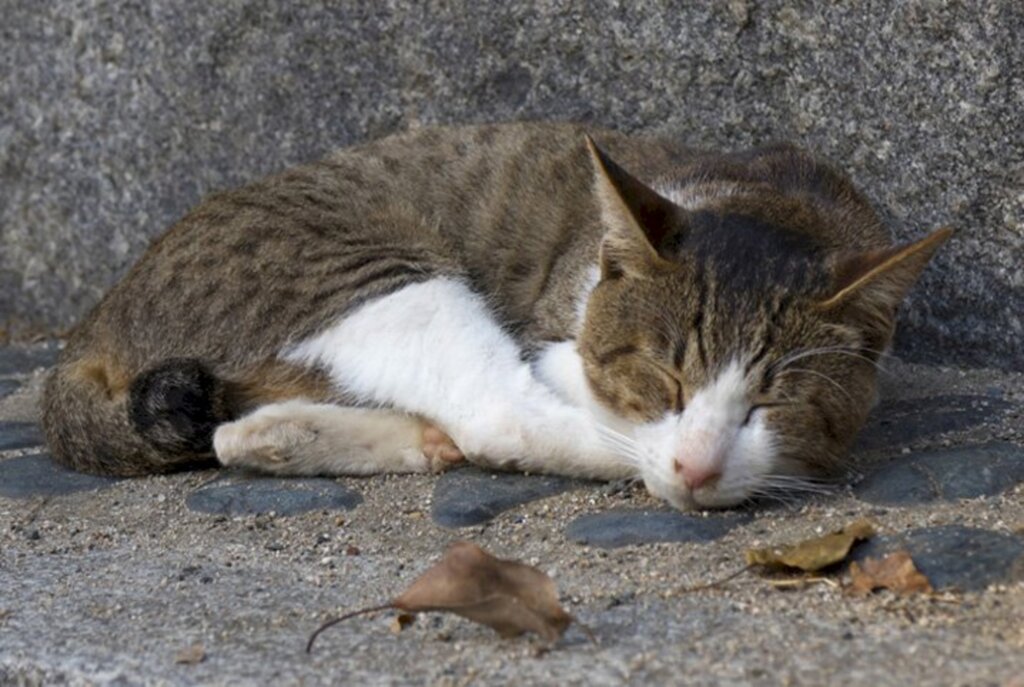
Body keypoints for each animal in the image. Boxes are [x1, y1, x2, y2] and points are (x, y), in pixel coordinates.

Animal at [39, 122, 950, 509]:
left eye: (771, 400)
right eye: (664, 376)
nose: (697, 466)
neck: (772, 199)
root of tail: (94, 323)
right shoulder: (558, 345)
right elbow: (581, 407)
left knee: (236, 433)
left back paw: (291, 435)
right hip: (375, 274)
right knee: (492, 416)